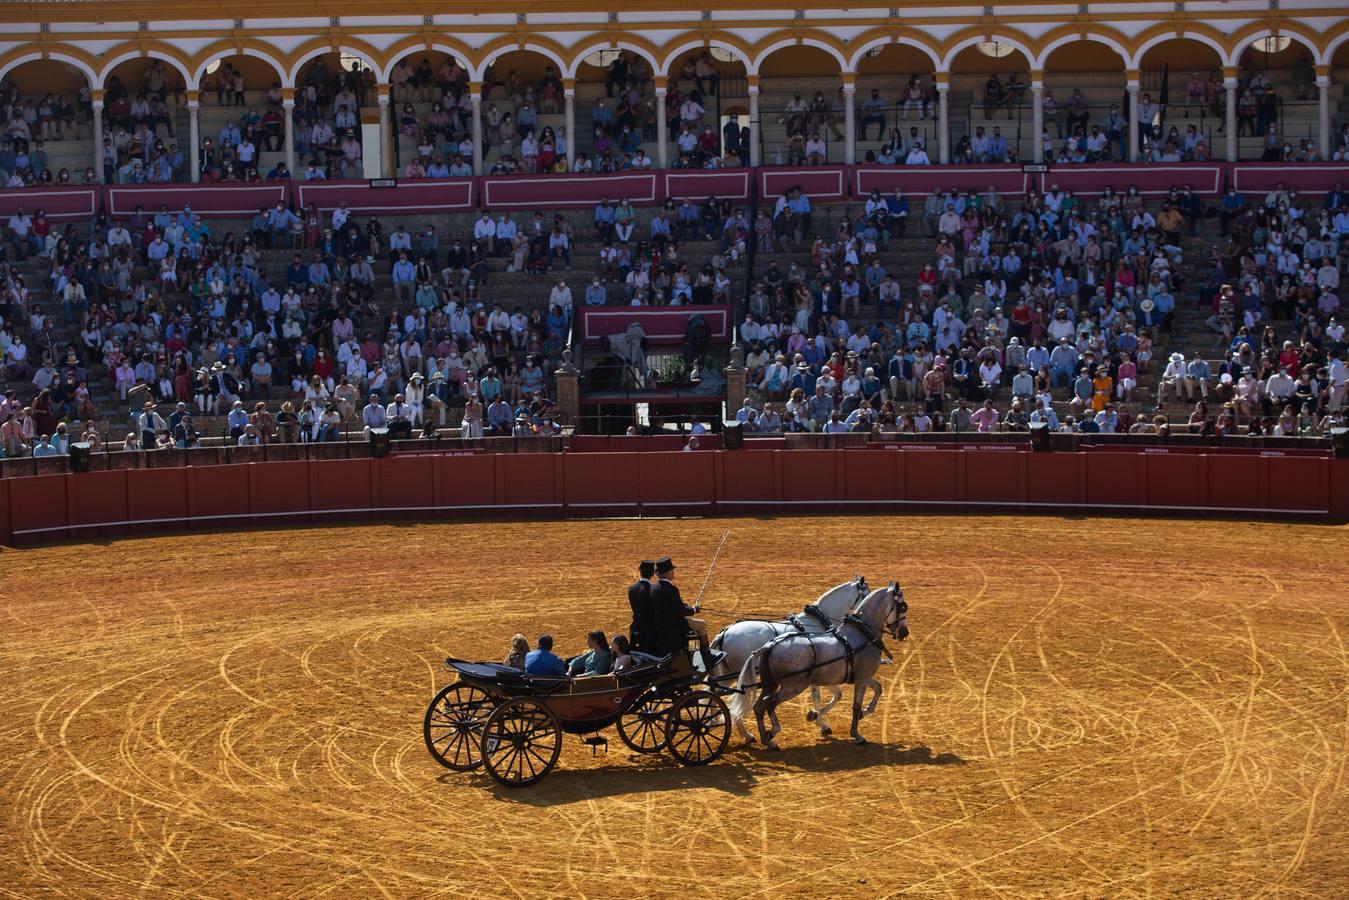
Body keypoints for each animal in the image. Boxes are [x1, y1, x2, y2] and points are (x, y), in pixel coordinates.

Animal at [706, 580, 863, 744]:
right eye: (865, 593)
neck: (815, 621)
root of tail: (724, 633)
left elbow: (831, 696)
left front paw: (818, 720)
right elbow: (824, 697)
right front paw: (819, 721)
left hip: (729, 675)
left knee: (713, 692)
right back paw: (745, 733)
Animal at [728, 580, 906, 750]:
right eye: (903, 606)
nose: (905, 633)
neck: (862, 634)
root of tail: (769, 646)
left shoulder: (862, 677)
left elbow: (877, 689)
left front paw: (859, 713)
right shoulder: (861, 679)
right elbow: (854, 705)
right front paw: (856, 734)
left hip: (770, 684)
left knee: (758, 706)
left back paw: (766, 740)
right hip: (793, 686)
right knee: (768, 703)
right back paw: (769, 733)